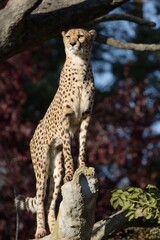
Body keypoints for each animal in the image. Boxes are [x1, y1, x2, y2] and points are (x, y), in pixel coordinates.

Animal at [15, 28, 96, 238]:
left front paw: (82, 167)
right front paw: (72, 172)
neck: (80, 67)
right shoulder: (65, 121)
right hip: (42, 166)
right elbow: (69, 151)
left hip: (55, 169)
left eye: (81, 36)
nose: (73, 43)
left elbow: (82, 146)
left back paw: (53, 229)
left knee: (51, 201)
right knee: (41, 199)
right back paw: (40, 231)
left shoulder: (86, 118)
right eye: (68, 37)